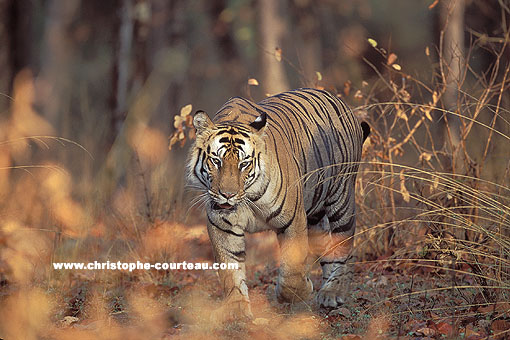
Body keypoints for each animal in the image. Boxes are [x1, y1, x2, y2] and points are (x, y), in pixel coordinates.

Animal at [188, 87, 370, 318]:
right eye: (216, 161)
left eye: (244, 163)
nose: (227, 195)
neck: (247, 198)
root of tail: (338, 100)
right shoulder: (222, 226)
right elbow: (230, 269)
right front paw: (237, 309)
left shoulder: (293, 221)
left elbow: (292, 271)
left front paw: (300, 291)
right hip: (315, 216)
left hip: (342, 198)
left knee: (344, 247)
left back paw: (333, 293)